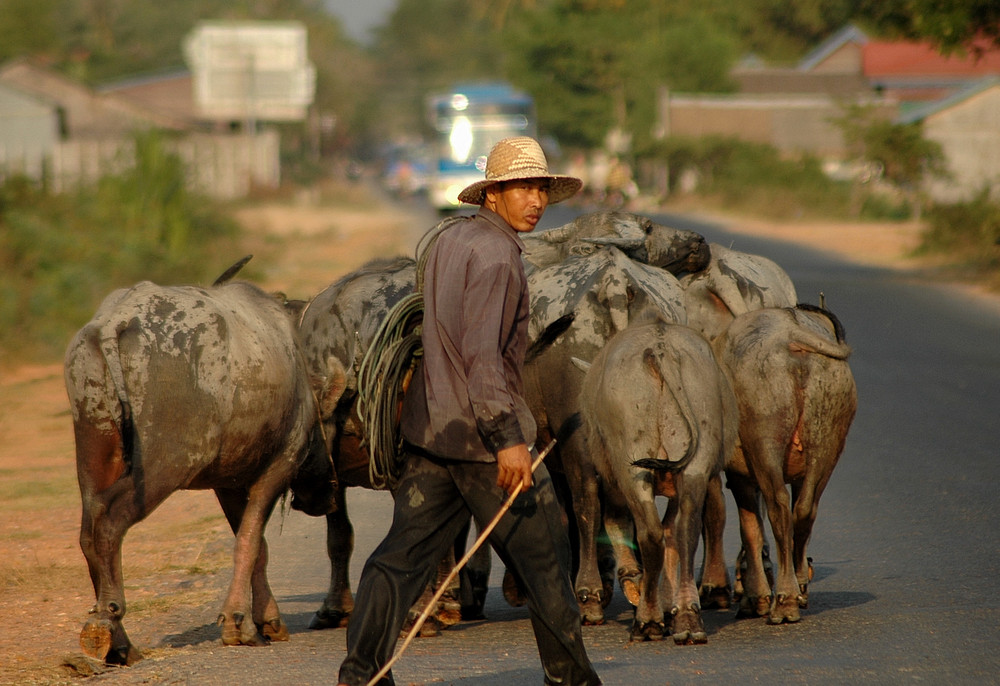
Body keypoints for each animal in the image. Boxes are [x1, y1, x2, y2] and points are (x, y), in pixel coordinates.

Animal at [67, 276, 344, 664]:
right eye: (331, 426)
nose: (330, 493)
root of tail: (111, 324)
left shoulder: (227, 483)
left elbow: (257, 545)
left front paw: (267, 619)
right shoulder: (277, 467)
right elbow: (249, 541)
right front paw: (240, 624)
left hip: (94, 452)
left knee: (89, 530)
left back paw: (119, 642)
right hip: (163, 467)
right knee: (108, 524)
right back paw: (109, 620)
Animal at [584, 322, 740, 644]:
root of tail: (661, 349)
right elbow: (672, 531)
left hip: (631, 466)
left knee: (650, 534)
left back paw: (648, 620)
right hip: (696, 461)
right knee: (685, 530)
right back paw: (687, 618)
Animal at [712, 304, 860, 628]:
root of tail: (792, 333)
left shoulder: (740, 475)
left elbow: (750, 529)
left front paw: (755, 598)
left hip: (765, 444)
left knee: (779, 508)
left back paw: (784, 601)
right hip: (827, 443)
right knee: (804, 511)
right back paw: (799, 588)